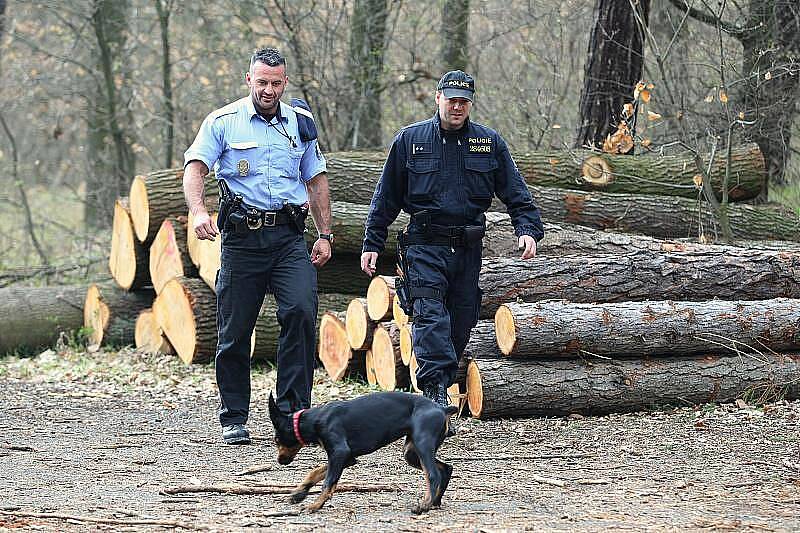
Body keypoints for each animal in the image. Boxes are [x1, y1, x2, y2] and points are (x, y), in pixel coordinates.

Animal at [268, 390, 456, 512]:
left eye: (276, 440)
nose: (280, 460)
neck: (314, 419)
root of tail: (441, 409)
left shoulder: (340, 453)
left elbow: (328, 481)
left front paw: (316, 505)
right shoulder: (348, 458)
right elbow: (315, 472)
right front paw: (299, 493)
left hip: (422, 444)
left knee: (433, 474)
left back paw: (424, 505)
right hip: (411, 453)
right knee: (446, 468)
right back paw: (435, 502)